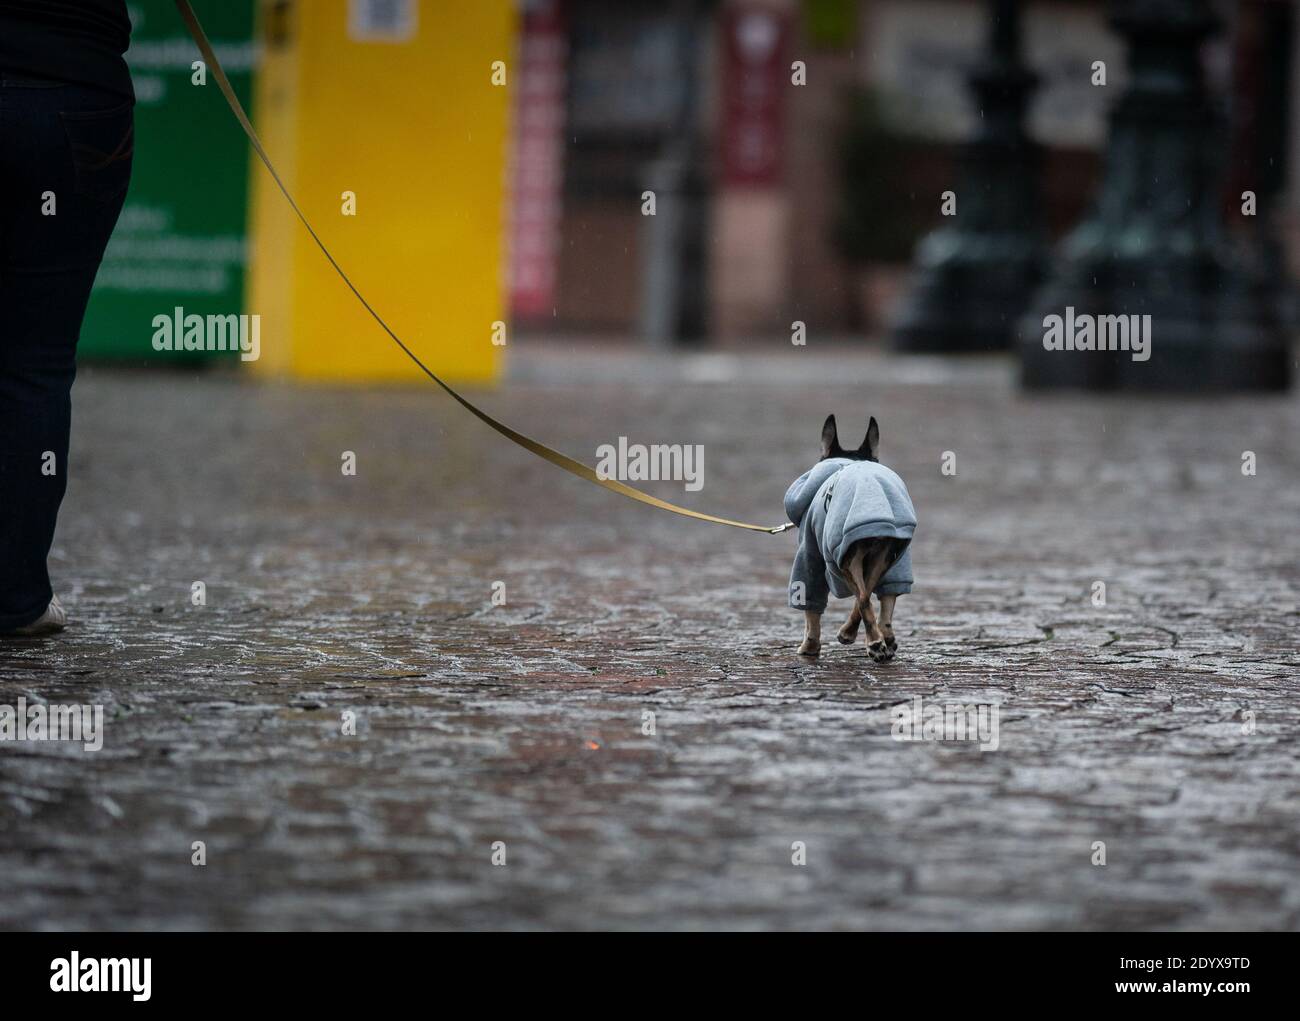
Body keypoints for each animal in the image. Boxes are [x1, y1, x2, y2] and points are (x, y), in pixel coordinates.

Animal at [780, 413, 915, 660]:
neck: (849, 461)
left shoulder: (810, 551)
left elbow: (811, 608)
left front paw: (810, 646)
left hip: (843, 557)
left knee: (863, 598)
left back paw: (873, 642)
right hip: (884, 557)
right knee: (875, 595)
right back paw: (881, 637)